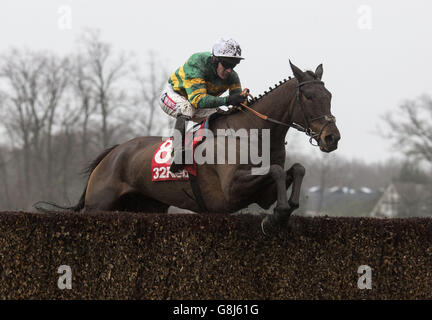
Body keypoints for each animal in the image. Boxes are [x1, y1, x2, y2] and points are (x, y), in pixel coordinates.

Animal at [35, 61, 340, 234]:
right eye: (309, 96)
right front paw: (276, 217)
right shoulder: (230, 191)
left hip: (149, 207)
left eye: (329, 95)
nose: (332, 138)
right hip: (99, 205)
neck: (253, 134)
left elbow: (296, 169)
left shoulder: (262, 194)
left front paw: (286, 211)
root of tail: (113, 153)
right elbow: (275, 171)